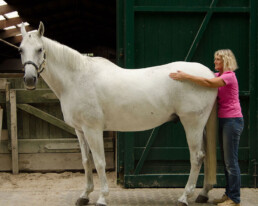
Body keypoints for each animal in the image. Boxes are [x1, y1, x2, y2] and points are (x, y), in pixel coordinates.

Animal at [18, 21, 218, 205]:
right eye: (20, 50)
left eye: (40, 49)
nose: (29, 80)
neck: (77, 78)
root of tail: (209, 75)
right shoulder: (80, 130)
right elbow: (86, 161)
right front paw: (84, 195)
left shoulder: (93, 130)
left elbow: (99, 162)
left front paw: (101, 198)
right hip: (200, 125)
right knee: (206, 157)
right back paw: (203, 194)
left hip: (192, 123)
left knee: (197, 157)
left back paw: (184, 196)